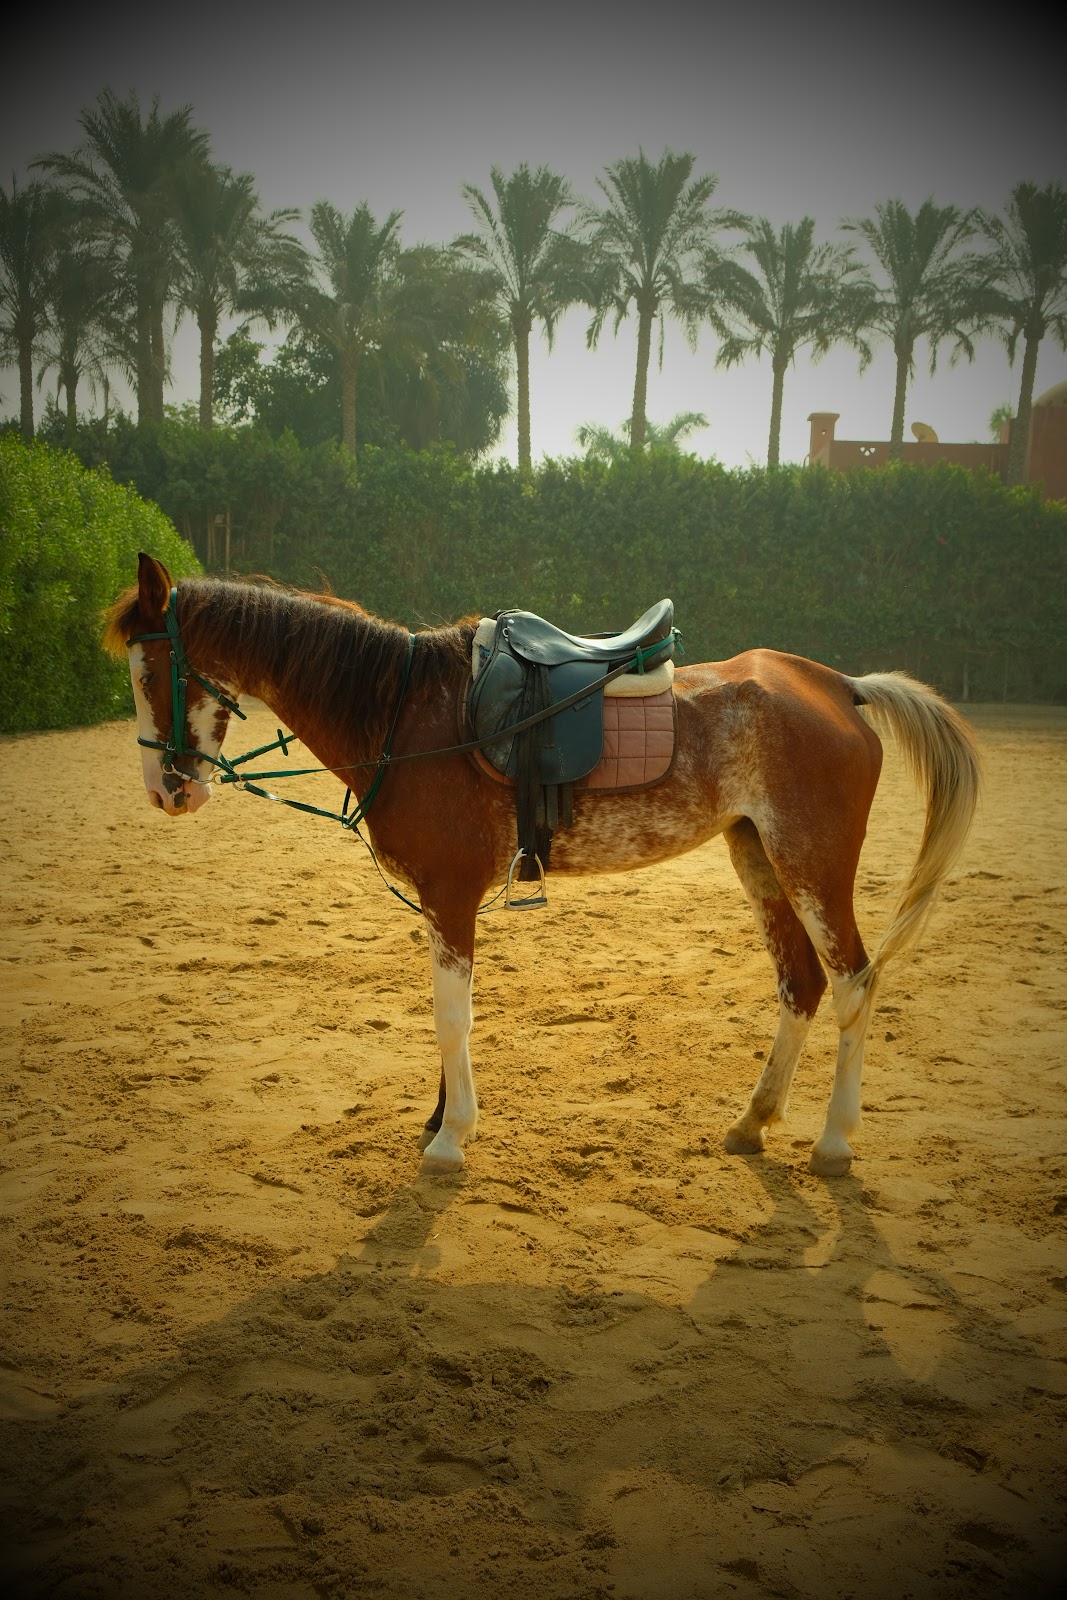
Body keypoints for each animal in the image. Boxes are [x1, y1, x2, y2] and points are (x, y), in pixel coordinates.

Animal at [104, 553, 981, 1181]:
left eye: (149, 672)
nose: (165, 791)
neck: (402, 712)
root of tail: (838, 685)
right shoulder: (442, 901)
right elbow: (448, 1016)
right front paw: (438, 1118)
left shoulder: (450, 893)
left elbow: (450, 1016)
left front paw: (449, 1141)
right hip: (757, 856)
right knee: (799, 984)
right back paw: (751, 1121)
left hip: (811, 864)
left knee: (854, 982)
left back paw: (833, 1142)